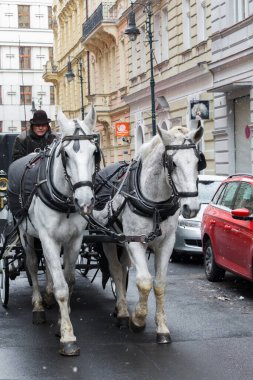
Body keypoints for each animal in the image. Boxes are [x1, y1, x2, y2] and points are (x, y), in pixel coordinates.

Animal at [6, 105, 97, 354]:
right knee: (31, 264)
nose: (85, 200)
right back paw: (38, 306)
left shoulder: (73, 240)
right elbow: (61, 288)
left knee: (46, 266)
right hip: (27, 235)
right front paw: (67, 337)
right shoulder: (47, 238)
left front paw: (60, 323)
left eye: (94, 152)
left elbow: (69, 282)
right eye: (66, 155)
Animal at [93, 123, 206, 342]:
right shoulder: (135, 242)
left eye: (198, 162)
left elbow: (159, 283)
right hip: (110, 241)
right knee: (116, 270)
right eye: (172, 164)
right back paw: (122, 313)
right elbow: (144, 282)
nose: (191, 208)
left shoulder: (166, 243)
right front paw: (138, 320)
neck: (155, 204)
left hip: (122, 242)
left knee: (124, 268)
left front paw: (161, 328)